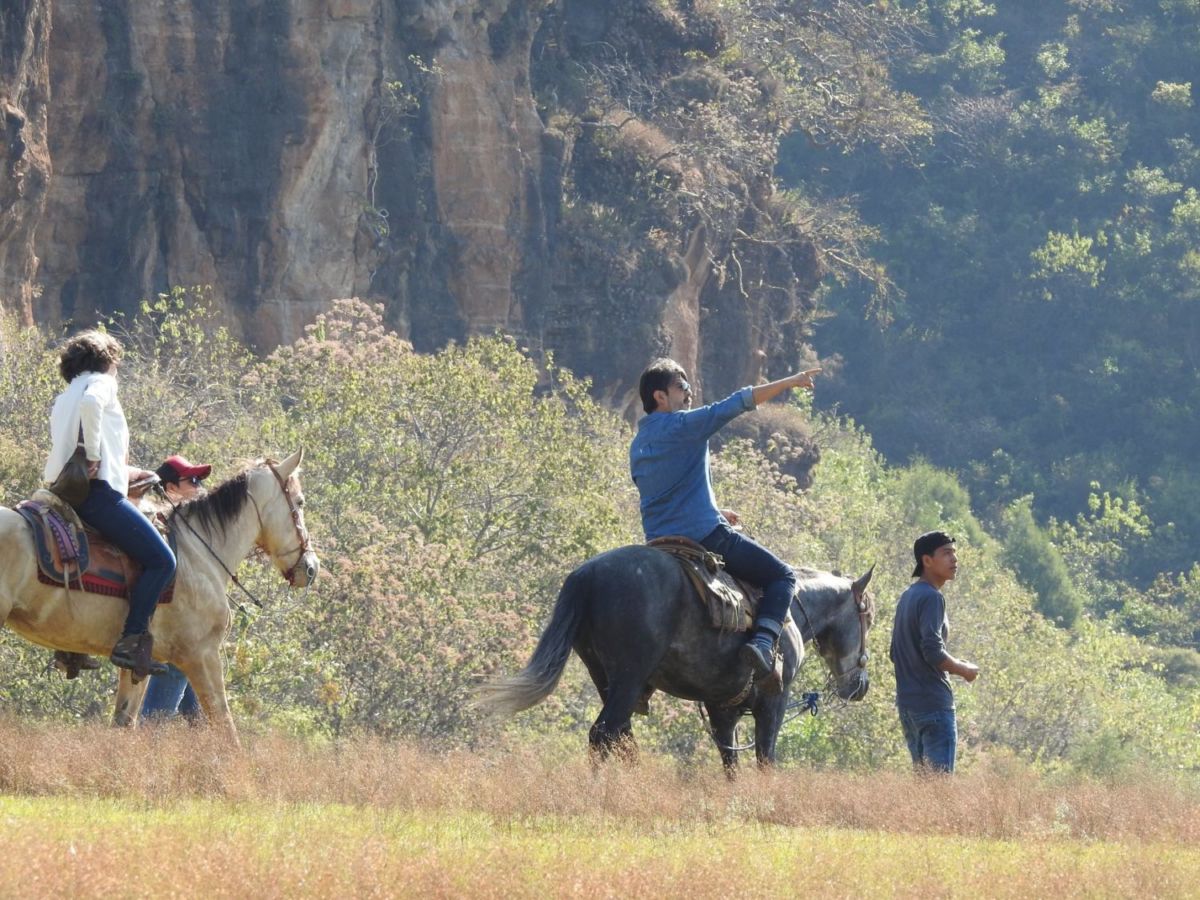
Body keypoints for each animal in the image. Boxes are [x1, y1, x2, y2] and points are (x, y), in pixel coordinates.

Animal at [0, 449, 319, 741]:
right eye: (300, 502)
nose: (311, 568)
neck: (197, 554)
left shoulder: (141, 664)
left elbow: (124, 723)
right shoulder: (202, 656)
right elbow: (225, 727)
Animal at [478, 544, 874, 768]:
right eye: (868, 616)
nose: (860, 685)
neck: (791, 608)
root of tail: (586, 575)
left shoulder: (722, 710)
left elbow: (730, 760)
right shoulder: (773, 701)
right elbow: (765, 757)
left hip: (607, 680)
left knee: (622, 738)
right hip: (628, 677)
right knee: (603, 735)